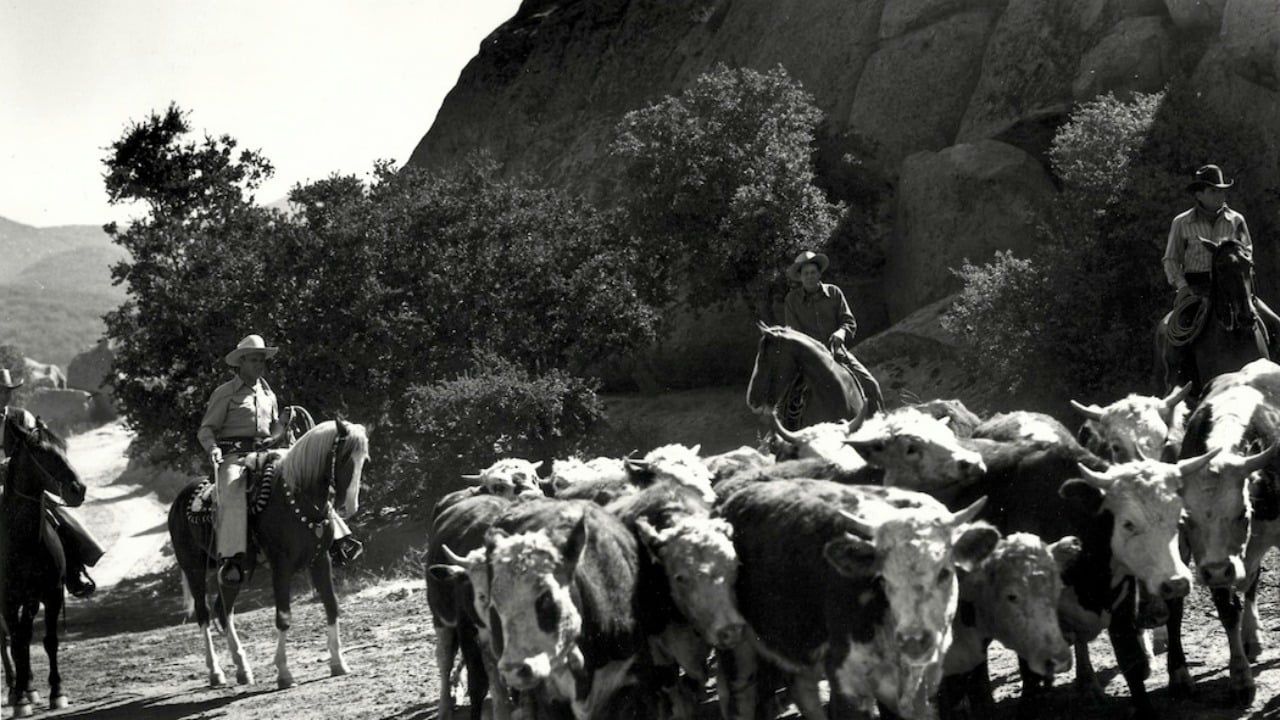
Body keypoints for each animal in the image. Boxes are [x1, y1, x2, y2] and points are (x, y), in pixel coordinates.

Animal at [0, 407, 87, 712]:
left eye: (63, 448)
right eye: (40, 451)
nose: (78, 489)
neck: (21, 542)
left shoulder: (50, 593)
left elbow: (49, 641)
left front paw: (56, 692)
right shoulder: (7, 600)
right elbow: (16, 643)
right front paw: (19, 700)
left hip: (32, 600)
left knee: (25, 637)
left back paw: (28, 687)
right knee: (9, 641)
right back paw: (16, 689)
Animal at [167, 417, 368, 686]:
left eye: (363, 459)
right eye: (345, 456)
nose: (348, 506)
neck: (295, 497)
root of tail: (180, 499)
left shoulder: (320, 560)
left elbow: (332, 606)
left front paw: (338, 663)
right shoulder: (280, 566)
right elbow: (283, 616)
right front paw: (284, 672)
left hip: (234, 571)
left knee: (224, 611)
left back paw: (242, 668)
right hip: (193, 569)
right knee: (204, 614)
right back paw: (216, 672)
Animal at [716, 476, 993, 717]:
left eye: (944, 572)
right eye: (882, 579)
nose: (912, 640)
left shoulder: (925, 685)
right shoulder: (847, 683)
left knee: (803, 692)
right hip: (736, 646)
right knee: (741, 701)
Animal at [1167, 356, 1280, 702]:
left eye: (1243, 513)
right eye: (1185, 520)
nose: (1217, 572)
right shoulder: (1211, 558)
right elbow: (1227, 609)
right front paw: (1241, 677)